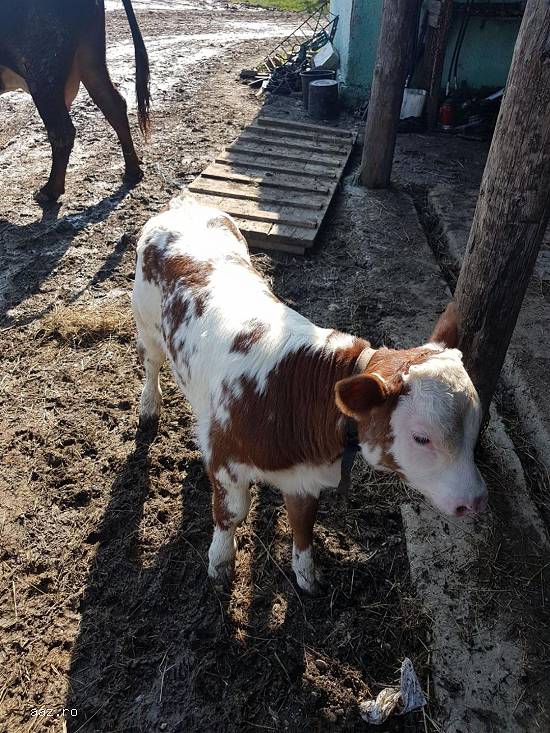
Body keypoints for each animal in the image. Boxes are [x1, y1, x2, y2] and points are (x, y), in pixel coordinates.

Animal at [0, 0, 150, 203]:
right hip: (90, 58)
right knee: (113, 105)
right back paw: (132, 172)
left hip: (43, 74)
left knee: (63, 131)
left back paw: (49, 191)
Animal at [131, 198, 488, 595]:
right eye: (421, 437)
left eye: (477, 428)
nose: (476, 501)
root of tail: (186, 206)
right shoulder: (227, 458)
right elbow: (231, 513)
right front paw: (220, 561)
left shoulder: (305, 476)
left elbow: (303, 523)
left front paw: (306, 576)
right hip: (146, 321)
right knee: (151, 361)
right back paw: (149, 406)